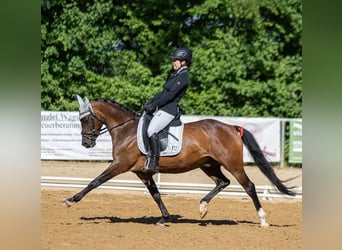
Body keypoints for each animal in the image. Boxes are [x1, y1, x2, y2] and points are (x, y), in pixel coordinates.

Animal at [62, 96, 296, 228]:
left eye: (85, 119)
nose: (86, 143)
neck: (126, 130)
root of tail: (231, 127)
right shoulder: (143, 172)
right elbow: (156, 194)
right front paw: (164, 218)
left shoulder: (120, 165)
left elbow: (95, 181)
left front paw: (70, 200)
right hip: (208, 164)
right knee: (223, 182)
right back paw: (202, 208)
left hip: (233, 164)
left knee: (249, 186)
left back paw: (263, 220)